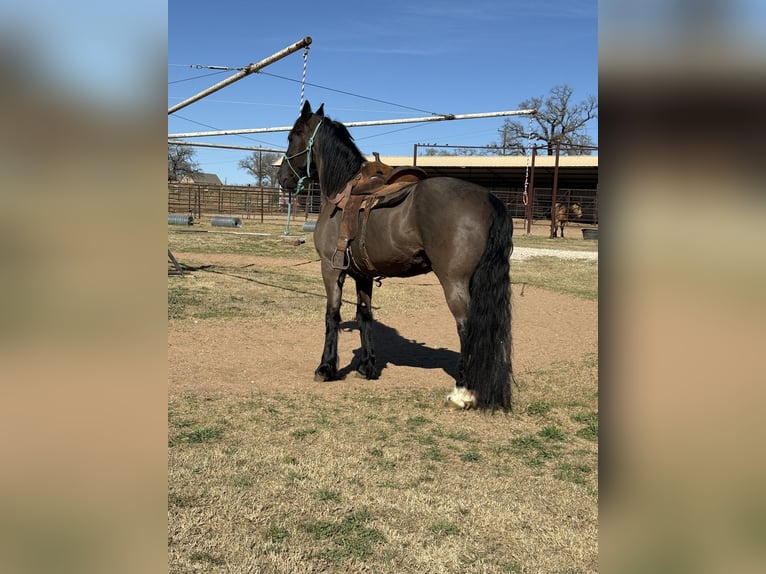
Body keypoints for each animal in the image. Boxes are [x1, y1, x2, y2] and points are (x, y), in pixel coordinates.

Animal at [277, 101, 513, 411]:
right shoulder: (361, 274)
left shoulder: (331, 270)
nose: (282, 179)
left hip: (454, 281)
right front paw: (367, 366)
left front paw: (326, 368)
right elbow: (364, 315)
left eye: (292, 136)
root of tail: (488, 198)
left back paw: (462, 392)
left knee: (466, 327)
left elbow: (332, 315)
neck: (342, 193)